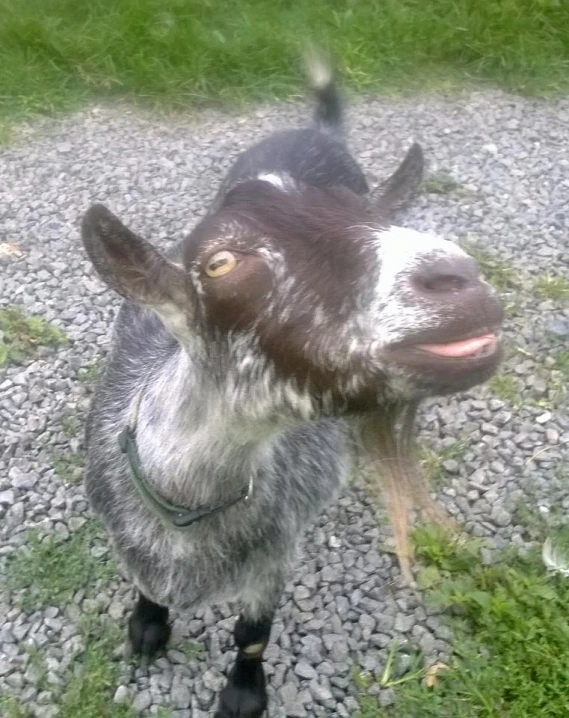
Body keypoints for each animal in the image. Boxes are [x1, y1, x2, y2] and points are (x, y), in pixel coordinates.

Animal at [81, 59, 502, 716]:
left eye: (385, 222)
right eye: (219, 263)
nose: (461, 280)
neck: (188, 505)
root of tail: (316, 131)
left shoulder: (277, 552)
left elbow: (253, 632)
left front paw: (243, 694)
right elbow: (147, 590)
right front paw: (147, 626)